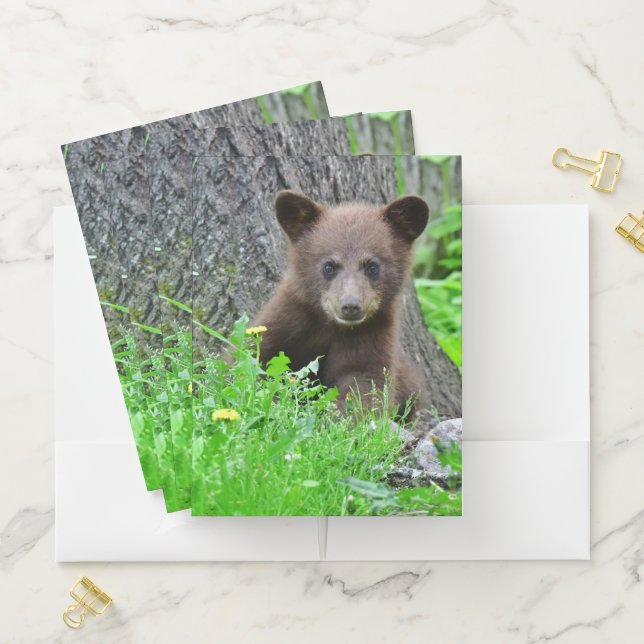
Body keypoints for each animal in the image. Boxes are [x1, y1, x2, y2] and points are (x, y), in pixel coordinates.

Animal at [253, 190, 430, 415]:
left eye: (372, 266)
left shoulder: (372, 333)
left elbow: (364, 382)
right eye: (329, 266)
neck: (330, 325)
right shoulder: (289, 318)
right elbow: (256, 354)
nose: (350, 306)